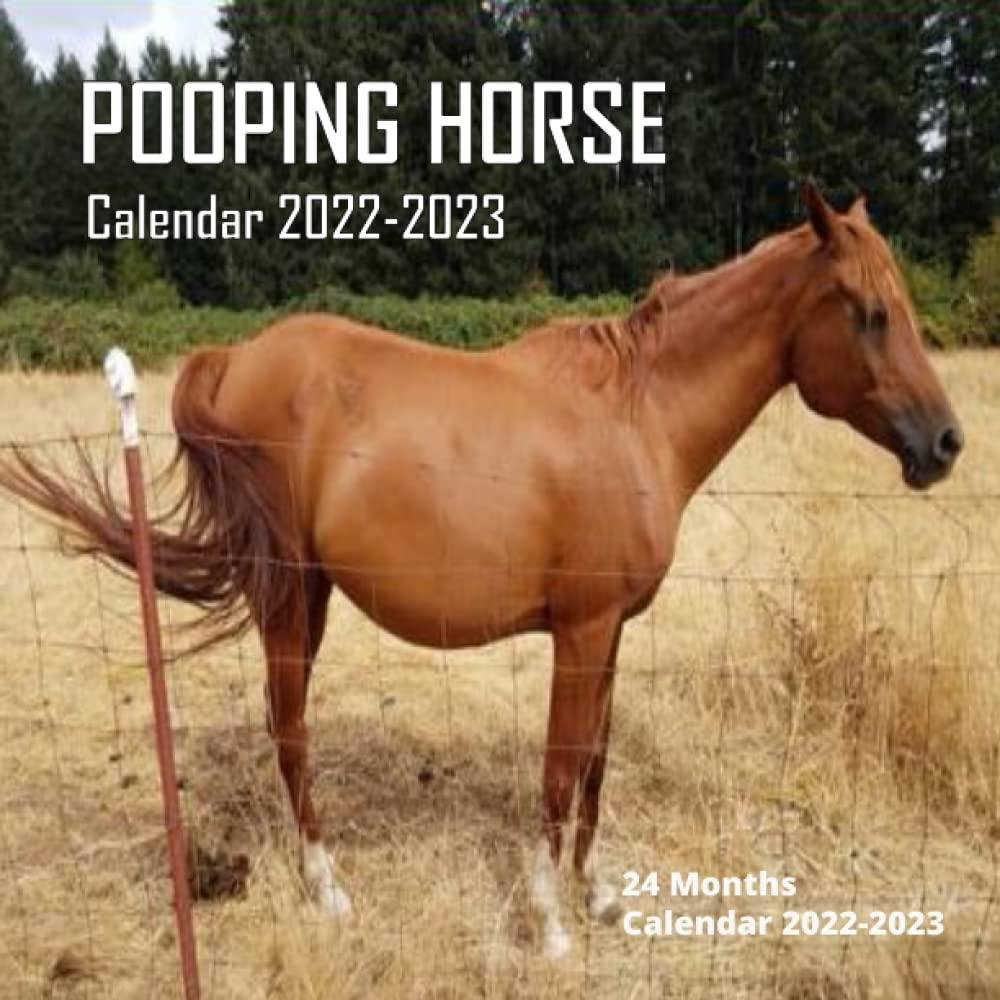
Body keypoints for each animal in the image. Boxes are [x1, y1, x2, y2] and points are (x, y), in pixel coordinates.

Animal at [0, 182, 963, 958]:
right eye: (868, 311)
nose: (946, 443)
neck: (637, 414)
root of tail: (237, 356)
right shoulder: (579, 631)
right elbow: (559, 768)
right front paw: (550, 923)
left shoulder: (612, 631)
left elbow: (595, 763)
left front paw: (597, 893)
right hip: (293, 593)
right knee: (290, 730)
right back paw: (329, 887)